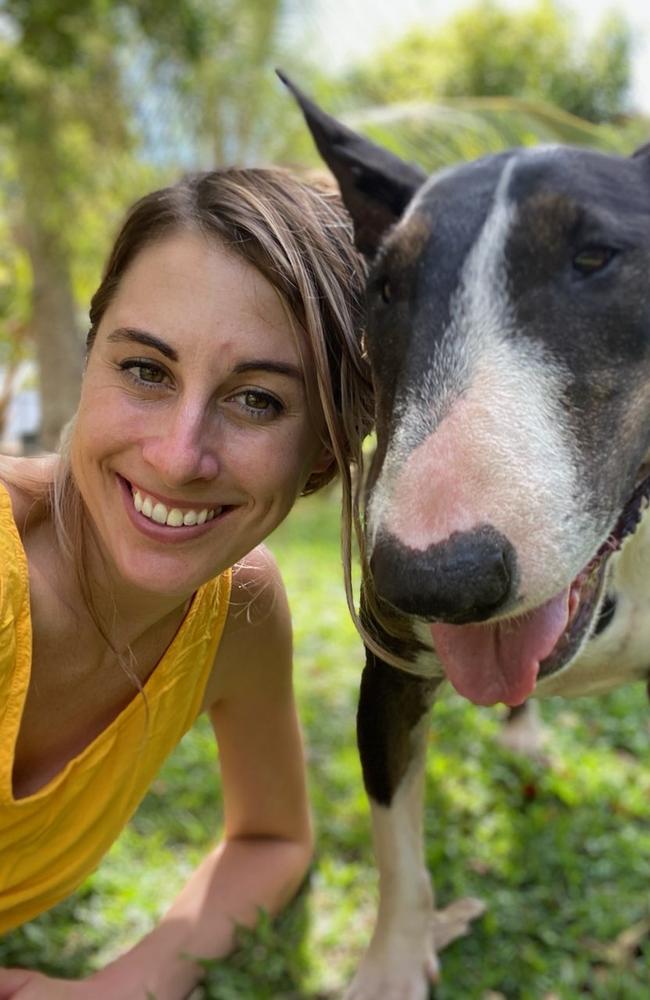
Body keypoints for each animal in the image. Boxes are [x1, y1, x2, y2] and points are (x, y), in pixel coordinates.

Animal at [278, 74, 648, 996]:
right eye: (383, 291)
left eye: (597, 258)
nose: (430, 580)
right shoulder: (392, 679)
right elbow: (398, 851)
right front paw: (391, 967)